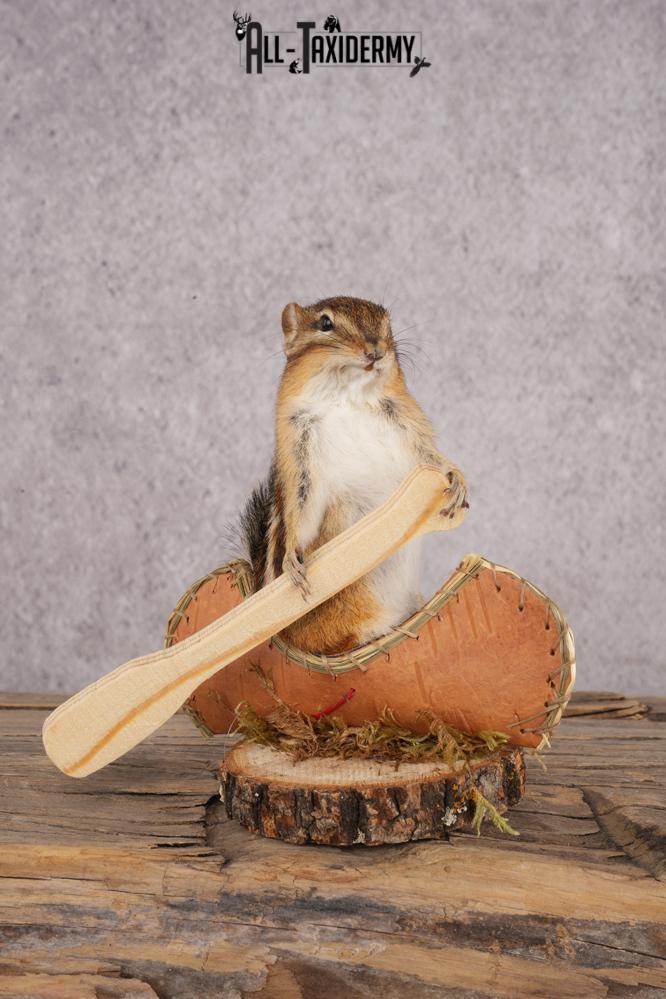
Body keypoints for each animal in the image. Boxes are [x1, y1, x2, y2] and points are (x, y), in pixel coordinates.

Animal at [240, 296, 468, 656]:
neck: (348, 397)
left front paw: (455, 478)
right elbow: (300, 510)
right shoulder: (299, 449)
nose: (376, 350)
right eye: (325, 324)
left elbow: (430, 457)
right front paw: (291, 562)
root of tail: (287, 638)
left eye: (387, 323)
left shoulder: (408, 426)